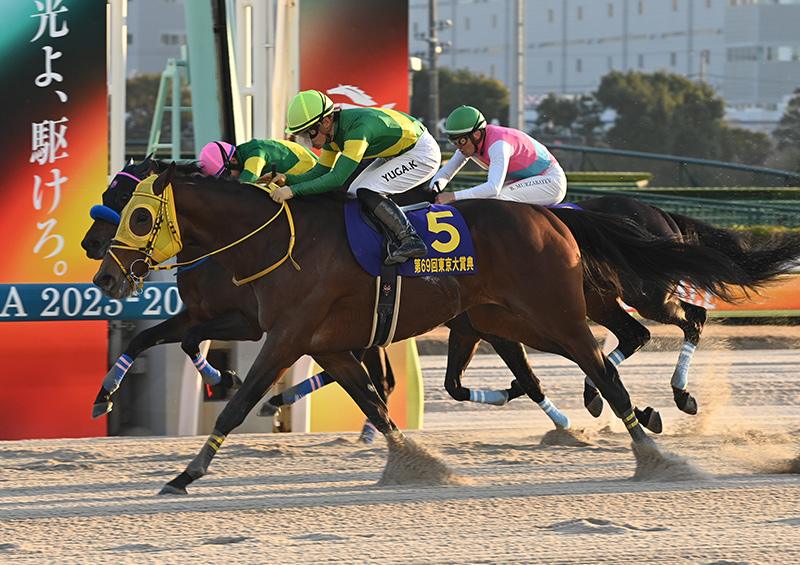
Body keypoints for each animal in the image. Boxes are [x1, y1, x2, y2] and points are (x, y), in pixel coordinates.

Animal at [94, 163, 756, 494]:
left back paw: (651, 446)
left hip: (560, 312)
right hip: (510, 318)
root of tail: (551, 219)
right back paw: (634, 417)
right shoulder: (322, 343)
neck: (273, 239)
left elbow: (238, 406)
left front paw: (186, 474)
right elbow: (373, 400)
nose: (103, 271)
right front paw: (418, 466)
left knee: (613, 360)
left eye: (139, 215)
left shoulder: (282, 335)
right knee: (597, 355)